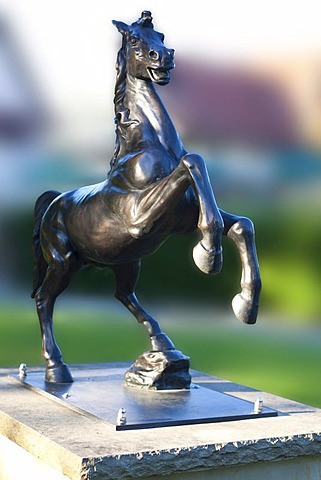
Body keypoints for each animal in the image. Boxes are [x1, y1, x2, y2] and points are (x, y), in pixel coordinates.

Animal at [31, 11, 260, 384]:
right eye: (136, 40)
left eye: (161, 35)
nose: (164, 56)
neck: (149, 149)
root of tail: (51, 203)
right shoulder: (141, 219)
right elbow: (193, 160)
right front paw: (208, 257)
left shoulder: (182, 219)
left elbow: (243, 224)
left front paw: (245, 306)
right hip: (63, 262)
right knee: (43, 300)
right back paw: (57, 368)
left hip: (126, 261)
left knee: (123, 295)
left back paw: (163, 347)